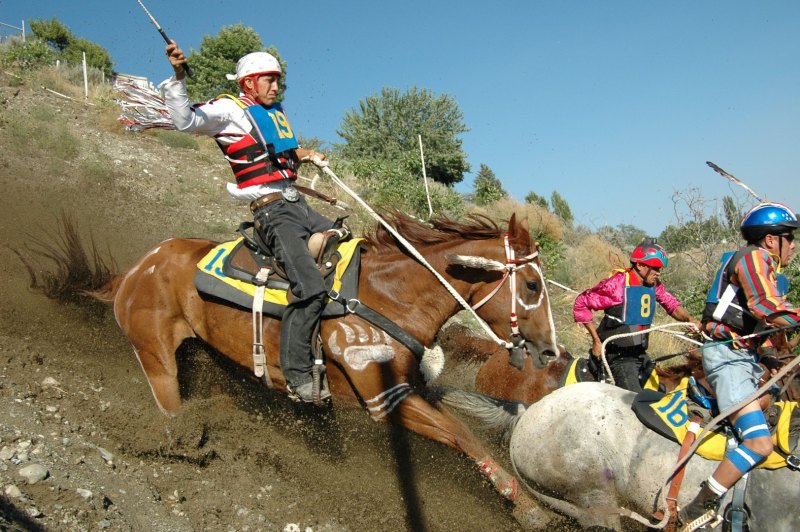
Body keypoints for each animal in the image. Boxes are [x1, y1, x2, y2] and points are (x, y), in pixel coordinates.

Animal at [67, 213, 556, 528]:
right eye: (532, 285)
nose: (551, 350)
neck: (387, 296)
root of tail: (139, 267)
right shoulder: (384, 399)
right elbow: (462, 435)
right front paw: (529, 509)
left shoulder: (409, 388)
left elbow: (460, 423)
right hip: (157, 358)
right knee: (169, 407)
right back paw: (180, 441)